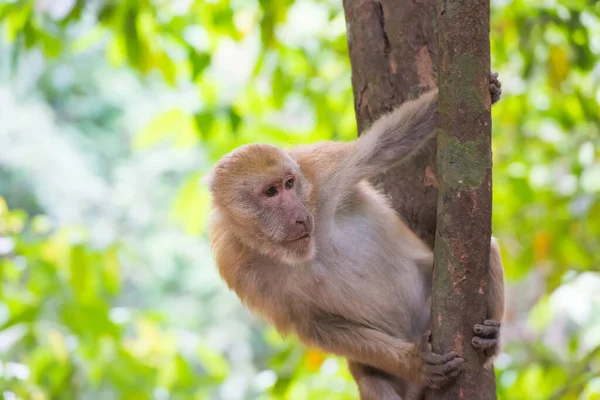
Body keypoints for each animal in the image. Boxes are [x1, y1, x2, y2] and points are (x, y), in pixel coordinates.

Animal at [204, 73, 504, 398]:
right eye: (270, 192)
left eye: (289, 183)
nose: (300, 216)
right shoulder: (239, 269)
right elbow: (314, 325)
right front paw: (415, 362)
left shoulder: (318, 170)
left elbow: (382, 146)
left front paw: (477, 92)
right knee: (373, 382)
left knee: (486, 248)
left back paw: (491, 340)